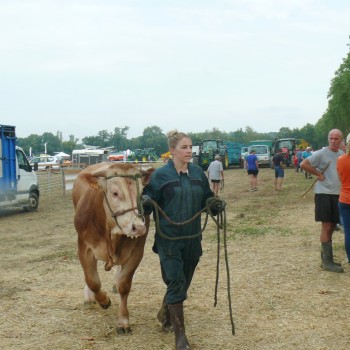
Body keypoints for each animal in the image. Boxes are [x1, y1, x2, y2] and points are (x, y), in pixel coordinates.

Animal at [72, 161, 153, 334]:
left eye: (141, 193)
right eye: (115, 193)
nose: (138, 227)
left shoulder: (137, 252)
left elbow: (124, 285)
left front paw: (123, 321)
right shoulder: (84, 248)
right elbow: (92, 281)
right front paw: (103, 300)